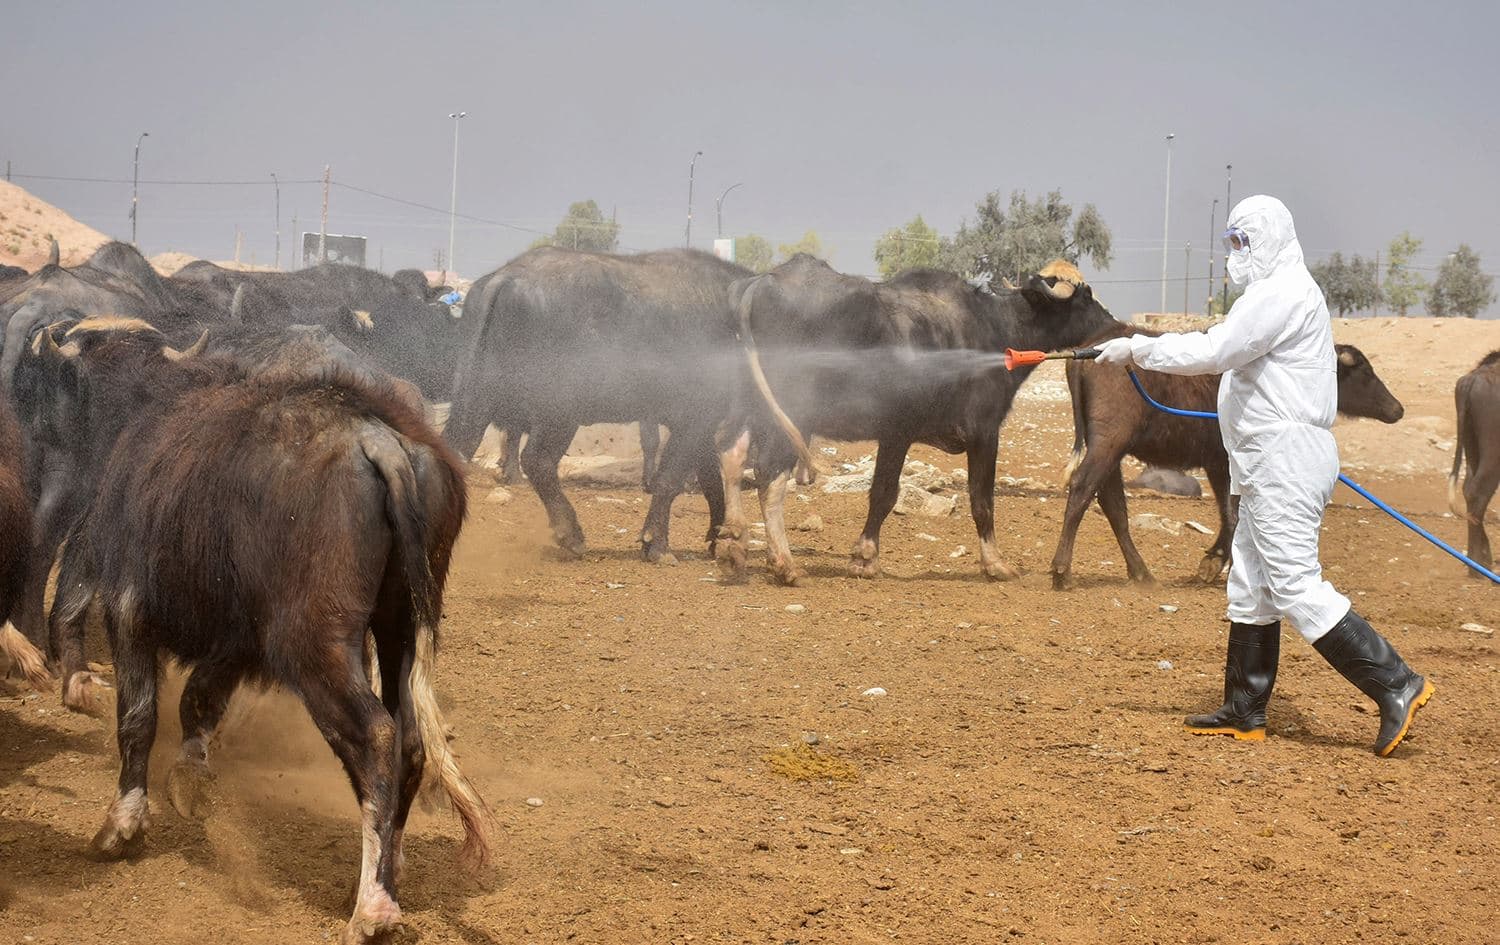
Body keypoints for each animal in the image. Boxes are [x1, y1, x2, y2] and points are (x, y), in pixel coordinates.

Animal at [25, 318, 489, 943]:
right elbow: (199, 700)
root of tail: (379, 440)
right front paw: (190, 779)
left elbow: (139, 719)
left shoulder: (129, 610)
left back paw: (373, 906)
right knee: (410, 739)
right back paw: (389, 868)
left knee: (376, 736)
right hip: (401, 632)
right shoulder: (239, 639)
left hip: (314, 647)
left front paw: (122, 825)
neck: (139, 414)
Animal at [444, 245, 751, 562]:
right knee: (538, 461)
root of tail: (507, 275)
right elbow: (671, 479)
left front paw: (716, 537)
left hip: (475, 398)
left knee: (458, 448)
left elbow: (710, 480)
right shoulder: (696, 418)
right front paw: (657, 545)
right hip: (558, 412)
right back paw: (571, 534)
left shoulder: (702, 425)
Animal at [718, 256, 1122, 585]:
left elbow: (884, 493)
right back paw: (784, 564)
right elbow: (969, 498)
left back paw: (735, 542)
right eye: (1085, 297)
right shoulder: (970, 432)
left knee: (730, 455)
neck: (995, 330)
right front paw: (994, 564)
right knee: (770, 477)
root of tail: (761, 282)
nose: (1114, 323)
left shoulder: (897, 435)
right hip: (791, 417)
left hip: (749, 407)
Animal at [1049, 325, 1404, 589]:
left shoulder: (1218, 464)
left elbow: (1227, 512)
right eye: (1364, 371)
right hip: (1108, 443)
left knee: (1112, 504)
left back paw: (1142, 574)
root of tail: (1087, 353)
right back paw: (1062, 572)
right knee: (1083, 488)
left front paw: (1214, 561)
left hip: (1111, 450)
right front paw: (1222, 564)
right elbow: (1235, 512)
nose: (1397, 409)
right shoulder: (1233, 462)